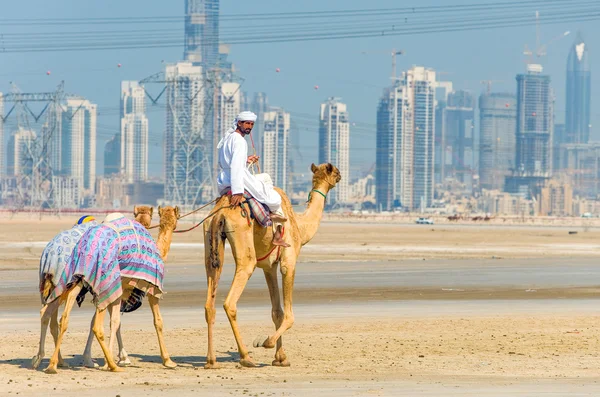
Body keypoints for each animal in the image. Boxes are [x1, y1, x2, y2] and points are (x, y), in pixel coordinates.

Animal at [203, 162, 340, 366]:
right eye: (335, 171)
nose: (340, 176)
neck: (300, 226)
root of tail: (220, 213)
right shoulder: (288, 262)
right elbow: (288, 315)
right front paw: (266, 342)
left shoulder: (269, 267)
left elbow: (277, 312)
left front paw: (281, 358)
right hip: (244, 246)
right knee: (230, 301)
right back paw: (246, 357)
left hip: (210, 239)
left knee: (209, 300)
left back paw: (211, 361)